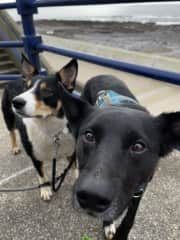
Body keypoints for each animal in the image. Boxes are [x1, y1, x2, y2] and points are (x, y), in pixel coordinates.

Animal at [1, 55, 77, 201]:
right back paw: (15, 147)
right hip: (8, 116)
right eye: (26, 88)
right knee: (11, 131)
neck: (49, 128)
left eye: (46, 91)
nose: (16, 102)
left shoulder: (71, 150)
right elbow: (41, 173)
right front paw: (46, 189)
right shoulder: (34, 156)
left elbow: (75, 167)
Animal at [57, 75, 180, 240]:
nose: (91, 197)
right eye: (89, 136)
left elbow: (129, 218)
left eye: (138, 146)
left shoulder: (139, 189)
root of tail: (101, 75)